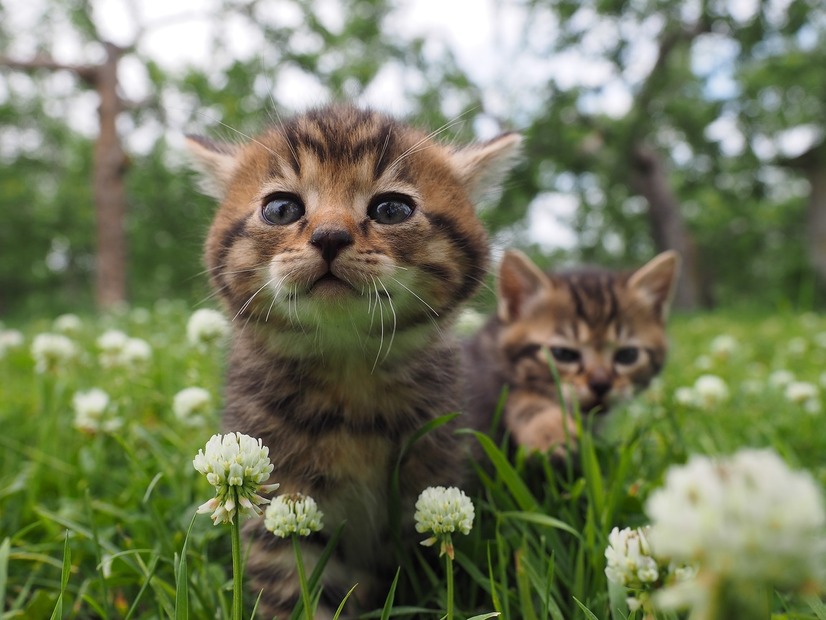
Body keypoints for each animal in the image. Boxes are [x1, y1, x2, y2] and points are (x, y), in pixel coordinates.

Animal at [187, 104, 520, 616]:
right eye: (281, 208)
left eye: (391, 209)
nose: (330, 235)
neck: (349, 368)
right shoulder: (283, 493)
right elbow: (293, 590)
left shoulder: (424, 486)